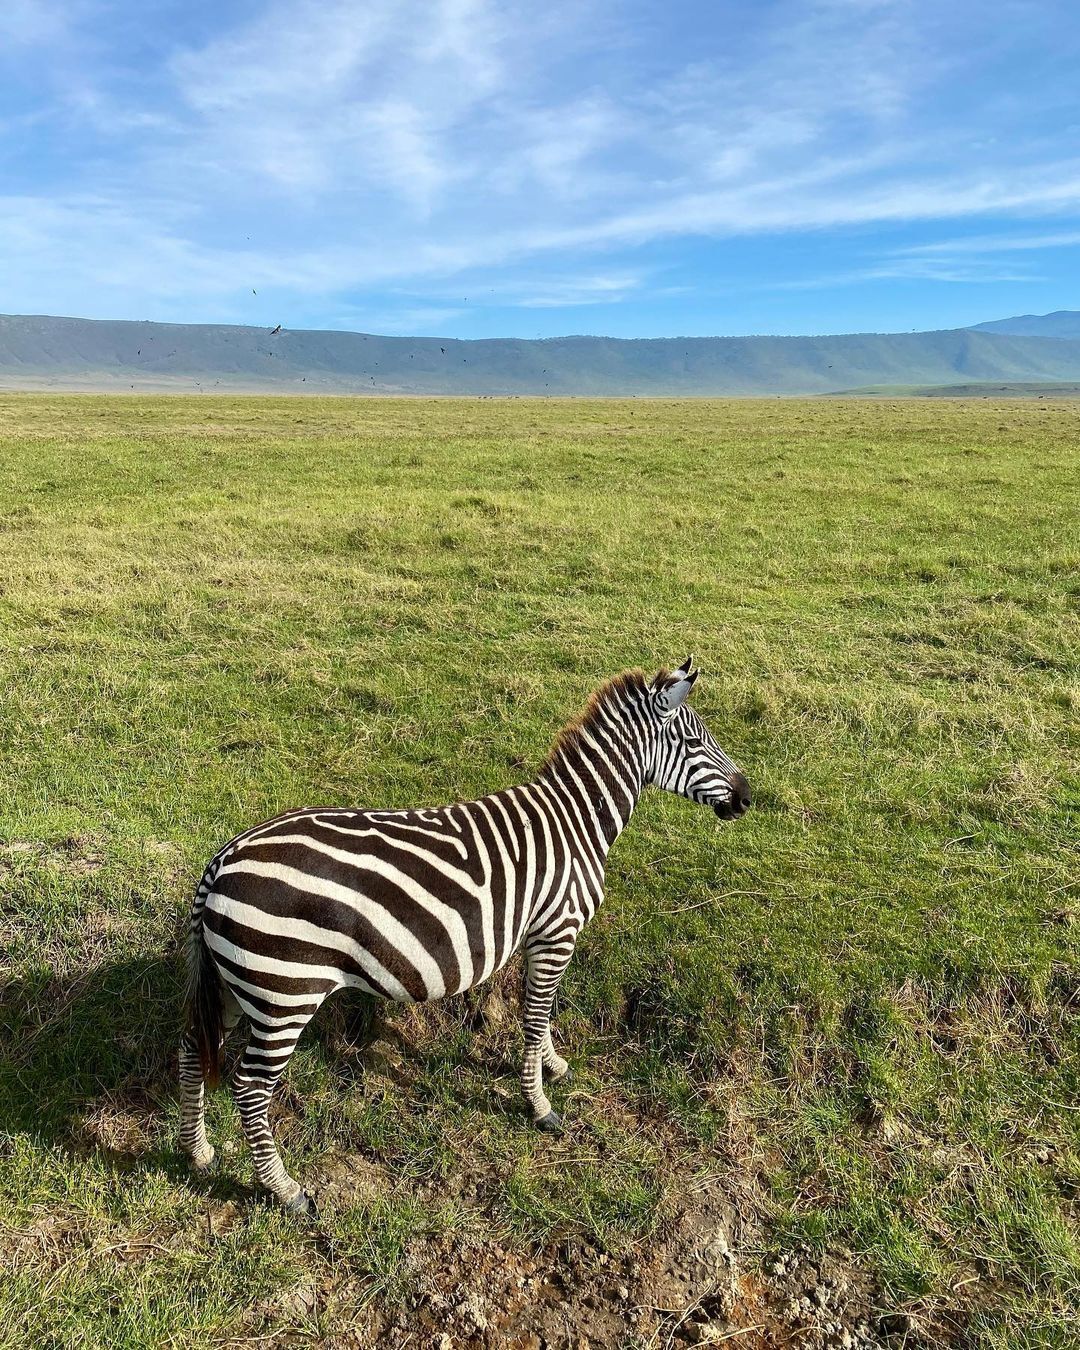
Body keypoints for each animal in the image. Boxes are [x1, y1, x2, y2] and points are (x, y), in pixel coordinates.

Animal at [179, 658, 750, 1220]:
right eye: (694, 741)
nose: (747, 797)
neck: (575, 823)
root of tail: (221, 861)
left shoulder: (538, 936)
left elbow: (541, 1012)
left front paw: (553, 1066)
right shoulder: (556, 932)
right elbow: (535, 1015)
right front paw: (540, 1106)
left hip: (239, 987)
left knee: (191, 1049)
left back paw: (198, 1152)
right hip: (284, 993)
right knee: (250, 1089)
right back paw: (284, 1189)